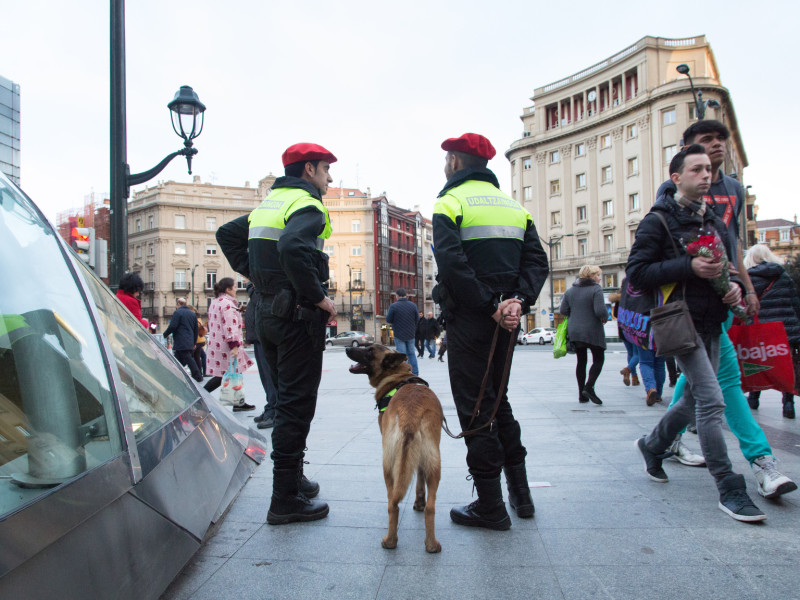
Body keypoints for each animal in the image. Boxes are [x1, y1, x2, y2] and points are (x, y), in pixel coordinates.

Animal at [346, 342, 444, 552]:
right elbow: (419, 480)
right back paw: (431, 545)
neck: (398, 376)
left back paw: (390, 541)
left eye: (369, 350)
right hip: (434, 463)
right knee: (431, 507)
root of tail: (411, 414)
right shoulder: (421, 459)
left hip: (388, 465)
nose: (348, 349)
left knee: (393, 503)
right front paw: (419, 502)